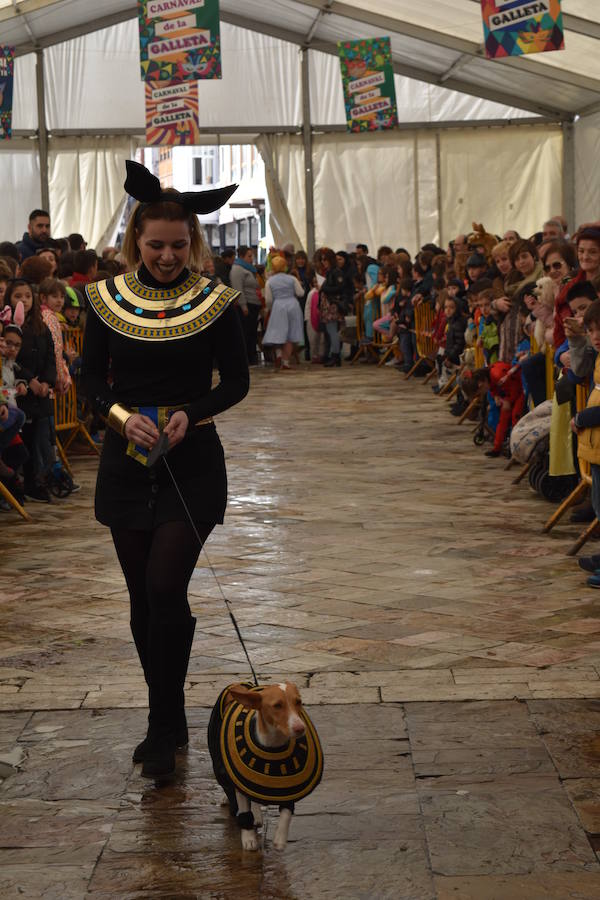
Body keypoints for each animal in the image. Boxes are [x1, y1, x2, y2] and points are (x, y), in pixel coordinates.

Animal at [206, 684, 322, 852]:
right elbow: (243, 809)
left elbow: (286, 812)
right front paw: (248, 838)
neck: (273, 743)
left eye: (298, 702)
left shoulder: (288, 786)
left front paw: (280, 839)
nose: (300, 728)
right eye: (277, 705)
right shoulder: (239, 784)